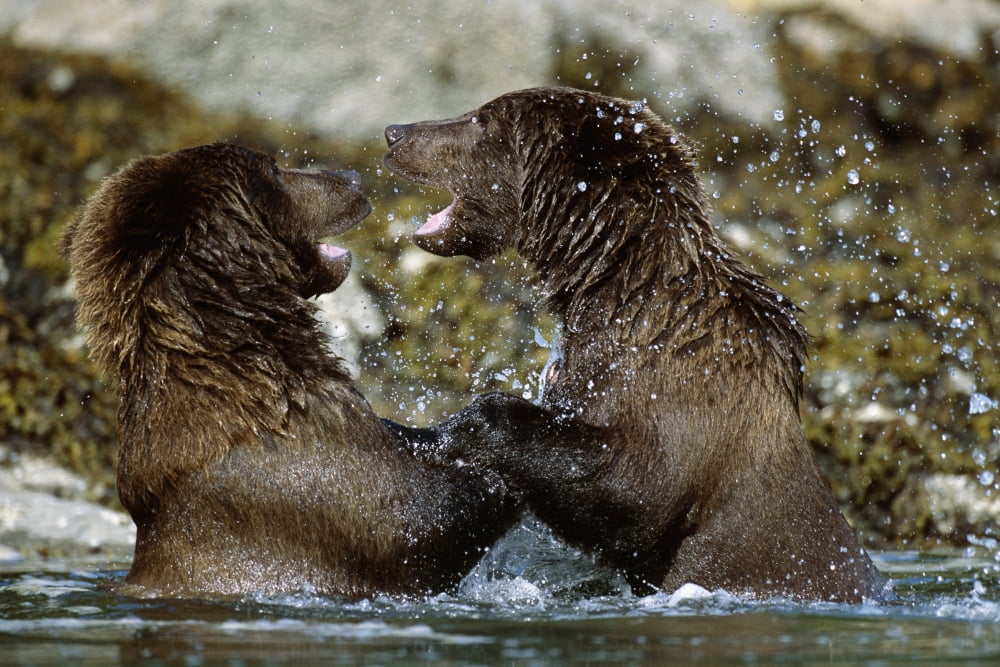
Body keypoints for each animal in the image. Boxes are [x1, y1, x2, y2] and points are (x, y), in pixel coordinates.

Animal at [382, 87, 892, 602]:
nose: (394, 132)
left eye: (482, 120)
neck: (620, 288)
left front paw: (465, 426)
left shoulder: (684, 384)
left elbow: (637, 493)